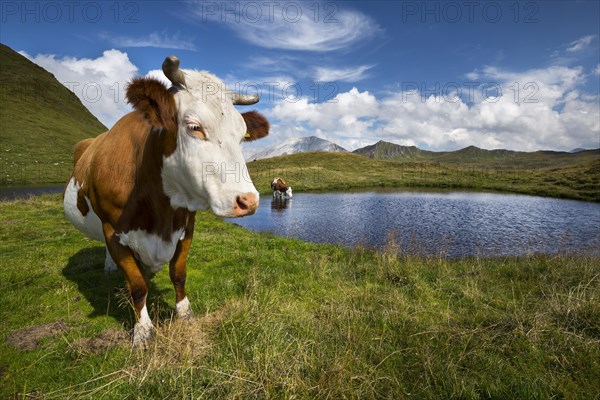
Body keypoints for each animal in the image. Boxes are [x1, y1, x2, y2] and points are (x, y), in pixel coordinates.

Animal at [63, 56, 270, 346]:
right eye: (195, 127)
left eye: (242, 136)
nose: (248, 201)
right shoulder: (113, 230)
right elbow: (138, 285)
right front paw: (143, 331)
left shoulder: (186, 226)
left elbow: (178, 273)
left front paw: (185, 313)